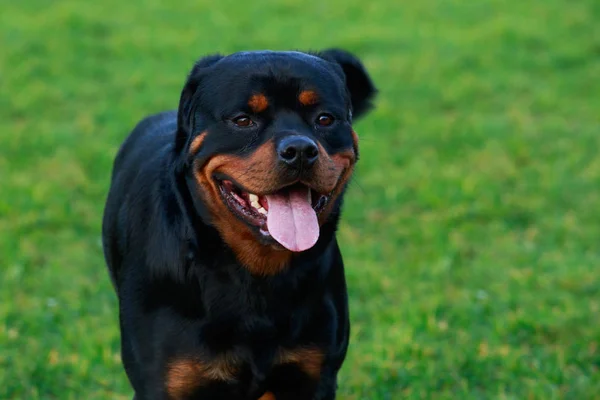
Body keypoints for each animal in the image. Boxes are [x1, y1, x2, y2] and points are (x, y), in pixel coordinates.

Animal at [102, 48, 376, 398]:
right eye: (243, 120)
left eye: (325, 119)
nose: (300, 149)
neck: (256, 274)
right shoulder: (163, 385)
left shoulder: (315, 377)